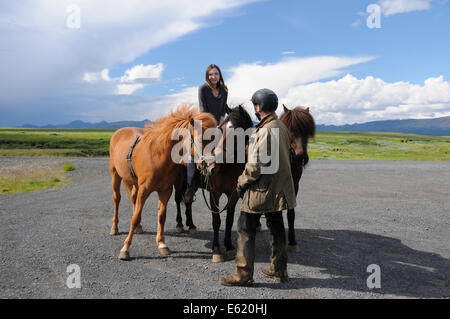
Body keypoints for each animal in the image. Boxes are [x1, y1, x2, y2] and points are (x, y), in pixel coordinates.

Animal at [107, 105, 216, 260]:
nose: (212, 167)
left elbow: (161, 217)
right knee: (117, 199)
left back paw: (139, 227)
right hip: (115, 175)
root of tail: (119, 132)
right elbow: (134, 217)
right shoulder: (144, 189)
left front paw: (162, 244)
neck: (158, 156)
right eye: (201, 139)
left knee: (133, 198)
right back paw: (114, 228)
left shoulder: (165, 191)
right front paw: (125, 248)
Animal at [175, 105, 255, 262]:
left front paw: (229, 246)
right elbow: (216, 221)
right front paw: (217, 250)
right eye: (221, 129)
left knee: (188, 201)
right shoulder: (214, 194)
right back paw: (180, 224)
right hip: (177, 182)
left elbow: (229, 220)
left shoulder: (233, 195)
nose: (213, 163)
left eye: (236, 131)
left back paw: (191, 225)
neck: (227, 167)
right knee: (177, 200)